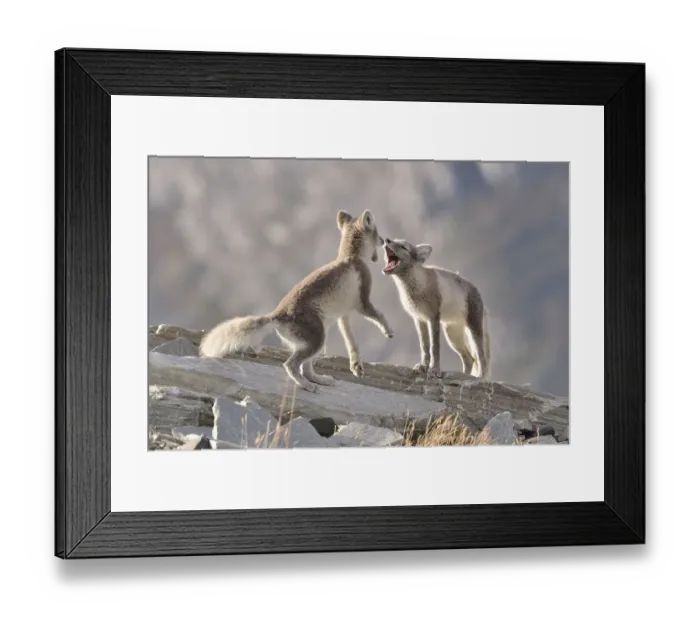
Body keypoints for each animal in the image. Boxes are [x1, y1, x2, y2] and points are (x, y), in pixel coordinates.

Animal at [199, 209, 393, 392]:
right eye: (376, 231)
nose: (383, 240)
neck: (351, 256)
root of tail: (277, 316)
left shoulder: (343, 316)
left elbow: (351, 340)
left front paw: (356, 365)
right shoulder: (362, 302)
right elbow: (379, 315)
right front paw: (388, 331)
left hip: (317, 340)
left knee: (305, 368)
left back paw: (321, 380)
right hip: (317, 339)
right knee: (291, 365)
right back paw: (306, 385)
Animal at [381, 238, 491, 379]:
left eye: (403, 247)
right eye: (394, 240)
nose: (387, 239)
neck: (417, 287)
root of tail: (478, 293)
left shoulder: (433, 318)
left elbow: (434, 348)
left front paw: (434, 370)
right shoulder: (419, 319)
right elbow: (424, 347)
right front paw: (423, 367)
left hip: (473, 330)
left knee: (481, 356)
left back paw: (480, 377)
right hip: (452, 335)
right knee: (469, 359)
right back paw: (460, 375)